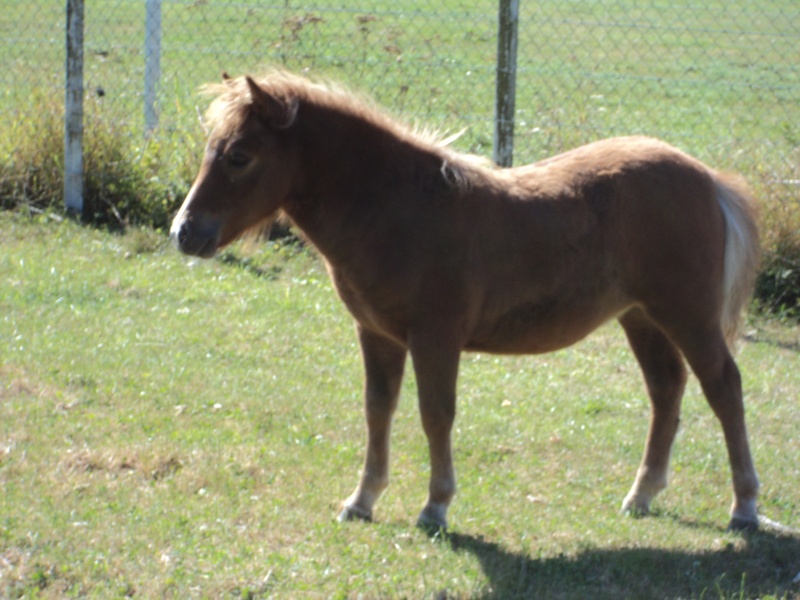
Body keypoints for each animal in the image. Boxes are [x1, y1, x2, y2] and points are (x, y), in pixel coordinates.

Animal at [170, 69, 764, 528]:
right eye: (212, 150)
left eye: (240, 156)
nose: (184, 232)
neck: (399, 208)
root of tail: (708, 179)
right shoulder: (377, 334)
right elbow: (378, 409)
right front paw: (361, 501)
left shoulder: (436, 337)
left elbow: (435, 413)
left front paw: (435, 507)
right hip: (641, 318)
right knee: (667, 389)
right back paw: (641, 496)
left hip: (687, 315)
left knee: (723, 387)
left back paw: (744, 506)